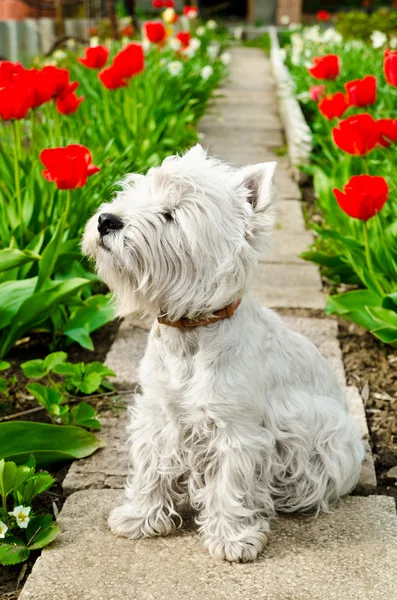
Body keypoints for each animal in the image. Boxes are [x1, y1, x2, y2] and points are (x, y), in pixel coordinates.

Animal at [82, 144, 364, 564]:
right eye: (137, 191)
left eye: (171, 214)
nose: (106, 220)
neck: (189, 333)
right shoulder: (157, 413)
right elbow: (150, 466)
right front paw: (140, 517)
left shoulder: (235, 429)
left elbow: (231, 483)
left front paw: (233, 538)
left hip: (332, 440)